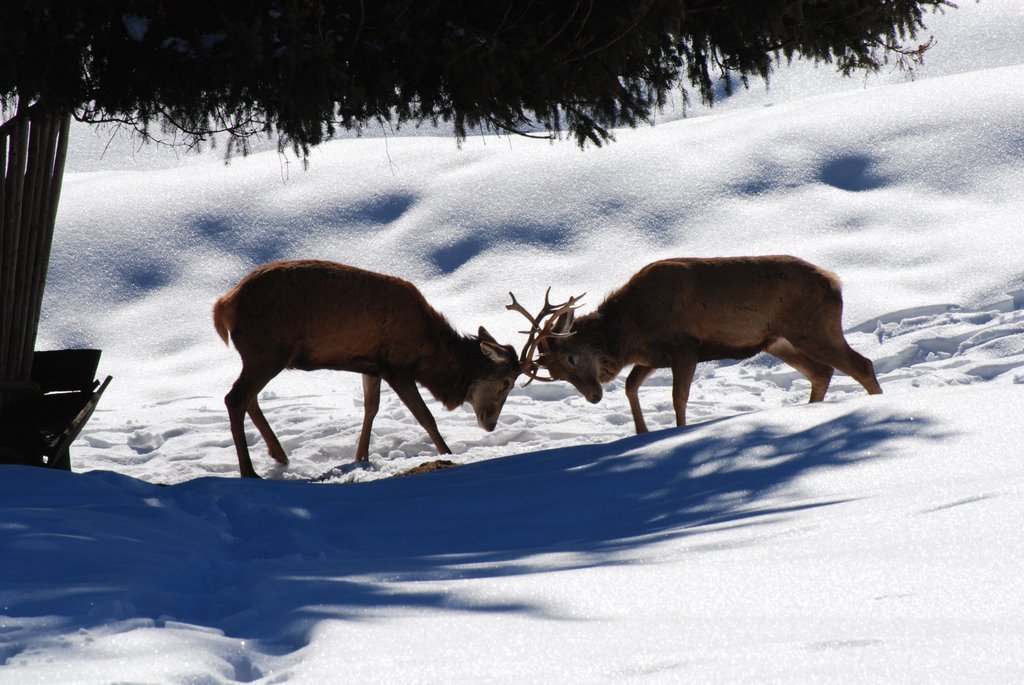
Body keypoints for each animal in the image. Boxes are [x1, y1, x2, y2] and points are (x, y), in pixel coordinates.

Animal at [215, 259, 520, 479]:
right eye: (506, 382)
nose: (490, 424)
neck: (429, 351)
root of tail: (224, 304)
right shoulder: (397, 367)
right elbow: (426, 417)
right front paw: (449, 454)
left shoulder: (372, 366)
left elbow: (370, 408)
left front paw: (360, 457)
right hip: (267, 352)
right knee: (235, 398)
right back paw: (249, 472)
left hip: (260, 356)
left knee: (249, 398)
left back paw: (278, 454)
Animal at [507, 253, 884, 436]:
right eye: (556, 373)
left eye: (570, 358)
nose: (594, 396)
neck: (631, 329)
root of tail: (836, 283)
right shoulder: (652, 357)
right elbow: (631, 386)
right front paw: (642, 432)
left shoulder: (684, 347)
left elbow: (678, 397)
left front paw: (678, 432)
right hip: (779, 342)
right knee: (822, 373)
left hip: (812, 329)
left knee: (861, 364)